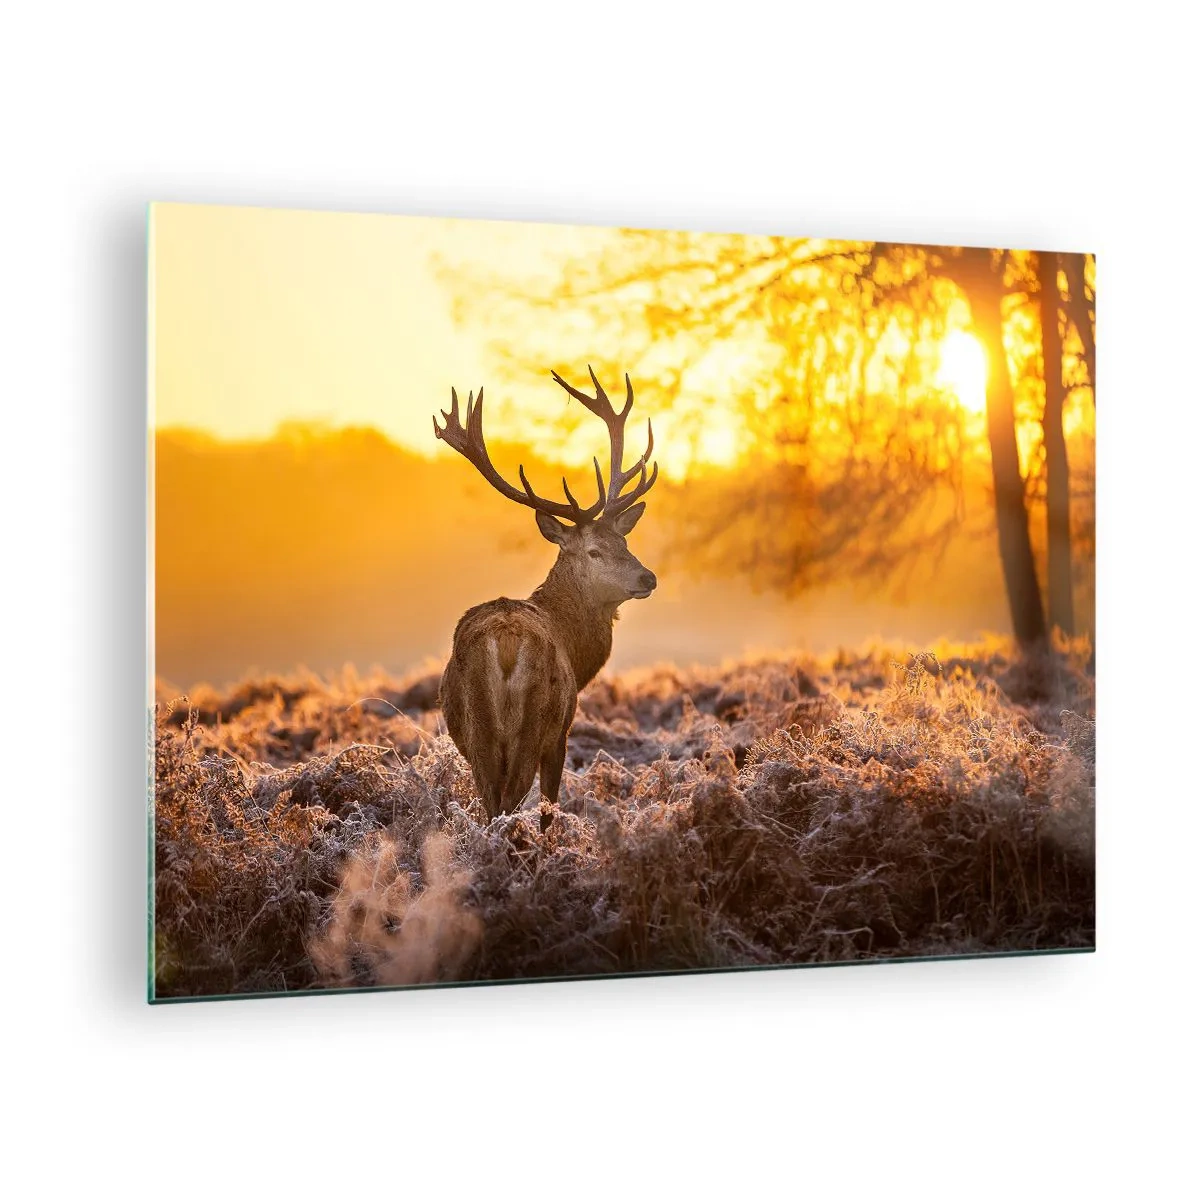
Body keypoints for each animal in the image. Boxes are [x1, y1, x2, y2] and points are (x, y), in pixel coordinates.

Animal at [433, 367, 659, 832]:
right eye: (594, 551)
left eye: (624, 541)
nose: (648, 576)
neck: (576, 647)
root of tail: (504, 644)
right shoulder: (562, 731)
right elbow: (550, 806)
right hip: (533, 723)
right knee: (511, 802)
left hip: (477, 731)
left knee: (491, 803)